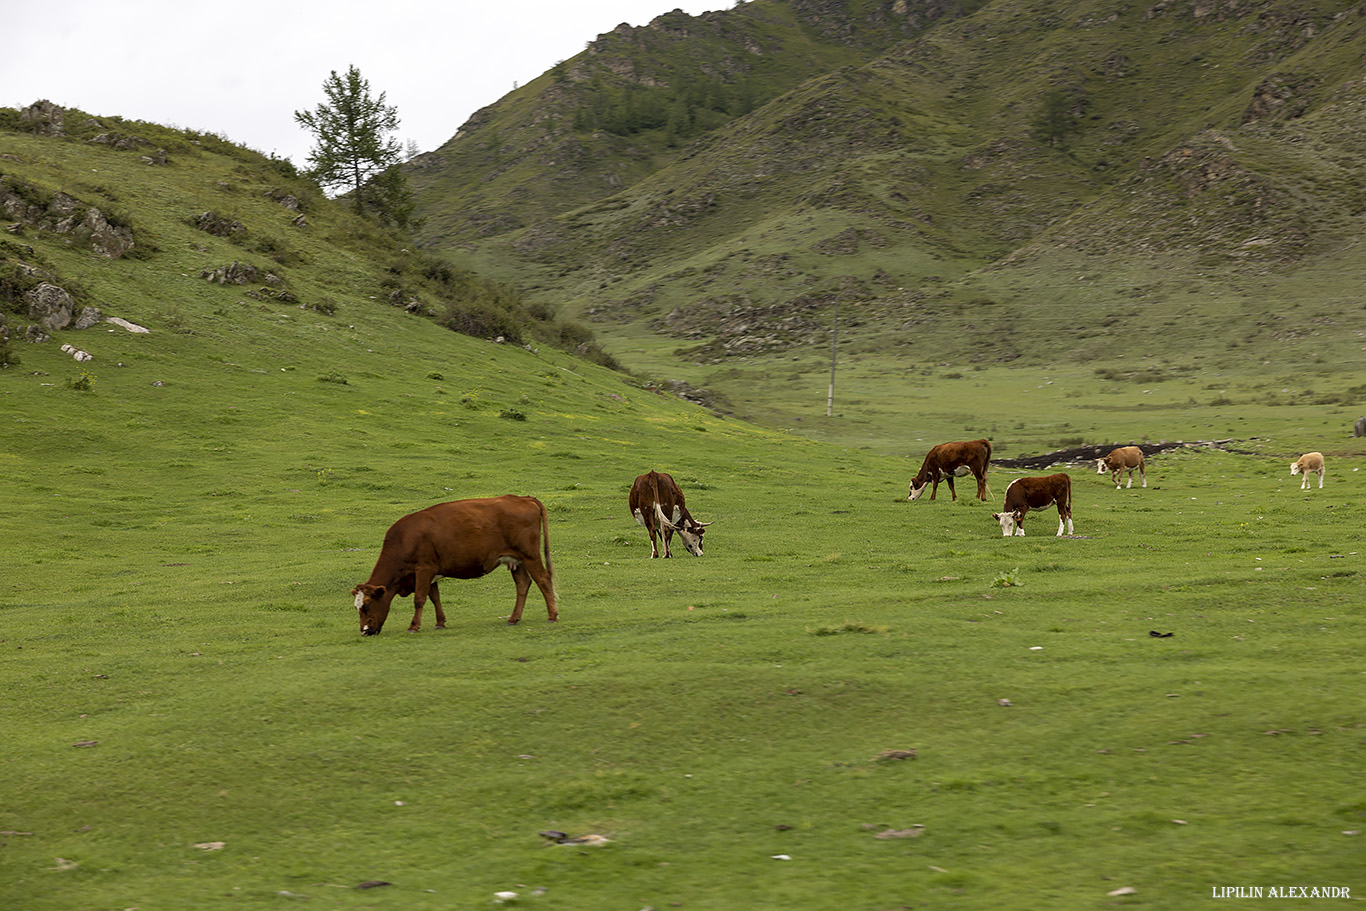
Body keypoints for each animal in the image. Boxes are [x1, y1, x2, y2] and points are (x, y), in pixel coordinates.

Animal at [349, 494, 557, 639]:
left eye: (367, 605)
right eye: (357, 607)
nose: (364, 632)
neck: (404, 539)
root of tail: (523, 498)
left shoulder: (424, 569)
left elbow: (419, 599)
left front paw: (413, 626)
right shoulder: (430, 571)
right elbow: (434, 597)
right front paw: (440, 622)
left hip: (530, 556)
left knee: (543, 580)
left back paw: (552, 616)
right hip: (515, 560)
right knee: (523, 584)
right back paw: (513, 619)